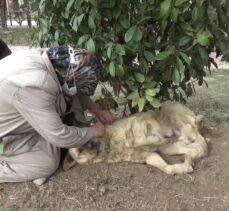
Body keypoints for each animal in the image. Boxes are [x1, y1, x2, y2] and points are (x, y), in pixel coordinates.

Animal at [62, 100, 208, 175]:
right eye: (80, 152)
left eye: (86, 135)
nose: (93, 145)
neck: (111, 144)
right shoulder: (148, 156)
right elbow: (166, 168)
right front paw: (183, 168)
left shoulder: (136, 122)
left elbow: (139, 139)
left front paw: (156, 137)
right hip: (171, 147)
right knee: (196, 149)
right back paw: (189, 158)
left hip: (168, 105)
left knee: (196, 124)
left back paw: (198, 121)